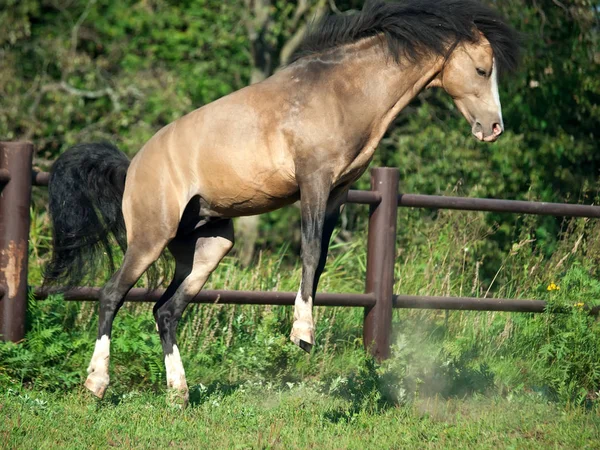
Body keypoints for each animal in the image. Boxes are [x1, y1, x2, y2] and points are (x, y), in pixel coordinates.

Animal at [43, 0, 520, 406]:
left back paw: (178, 393)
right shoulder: (313, 182)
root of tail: (132, 168)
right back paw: (97, 383)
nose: (494, 128)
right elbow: (309, 252)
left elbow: (320, 259)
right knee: (111, 295)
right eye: (482, 69)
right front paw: (303, 333)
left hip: (207, 247)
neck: (342, 92)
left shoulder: (338, 193)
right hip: (149, 238)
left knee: (166, 310)